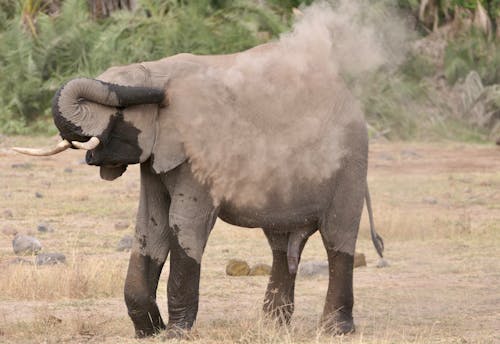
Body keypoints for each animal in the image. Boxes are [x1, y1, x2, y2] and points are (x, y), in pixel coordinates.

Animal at [14, 41, 382, 338]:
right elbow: (151, 224)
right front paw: (149, 332)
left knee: (337, 238)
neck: (156, 69)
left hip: (349, 162)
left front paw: (175, 333)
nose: (159, 92)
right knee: (281, 244)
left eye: (119, 111)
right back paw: (272, 327)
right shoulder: (158, 153)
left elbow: (184, 223)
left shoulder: (202, 151)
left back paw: (335, 331)